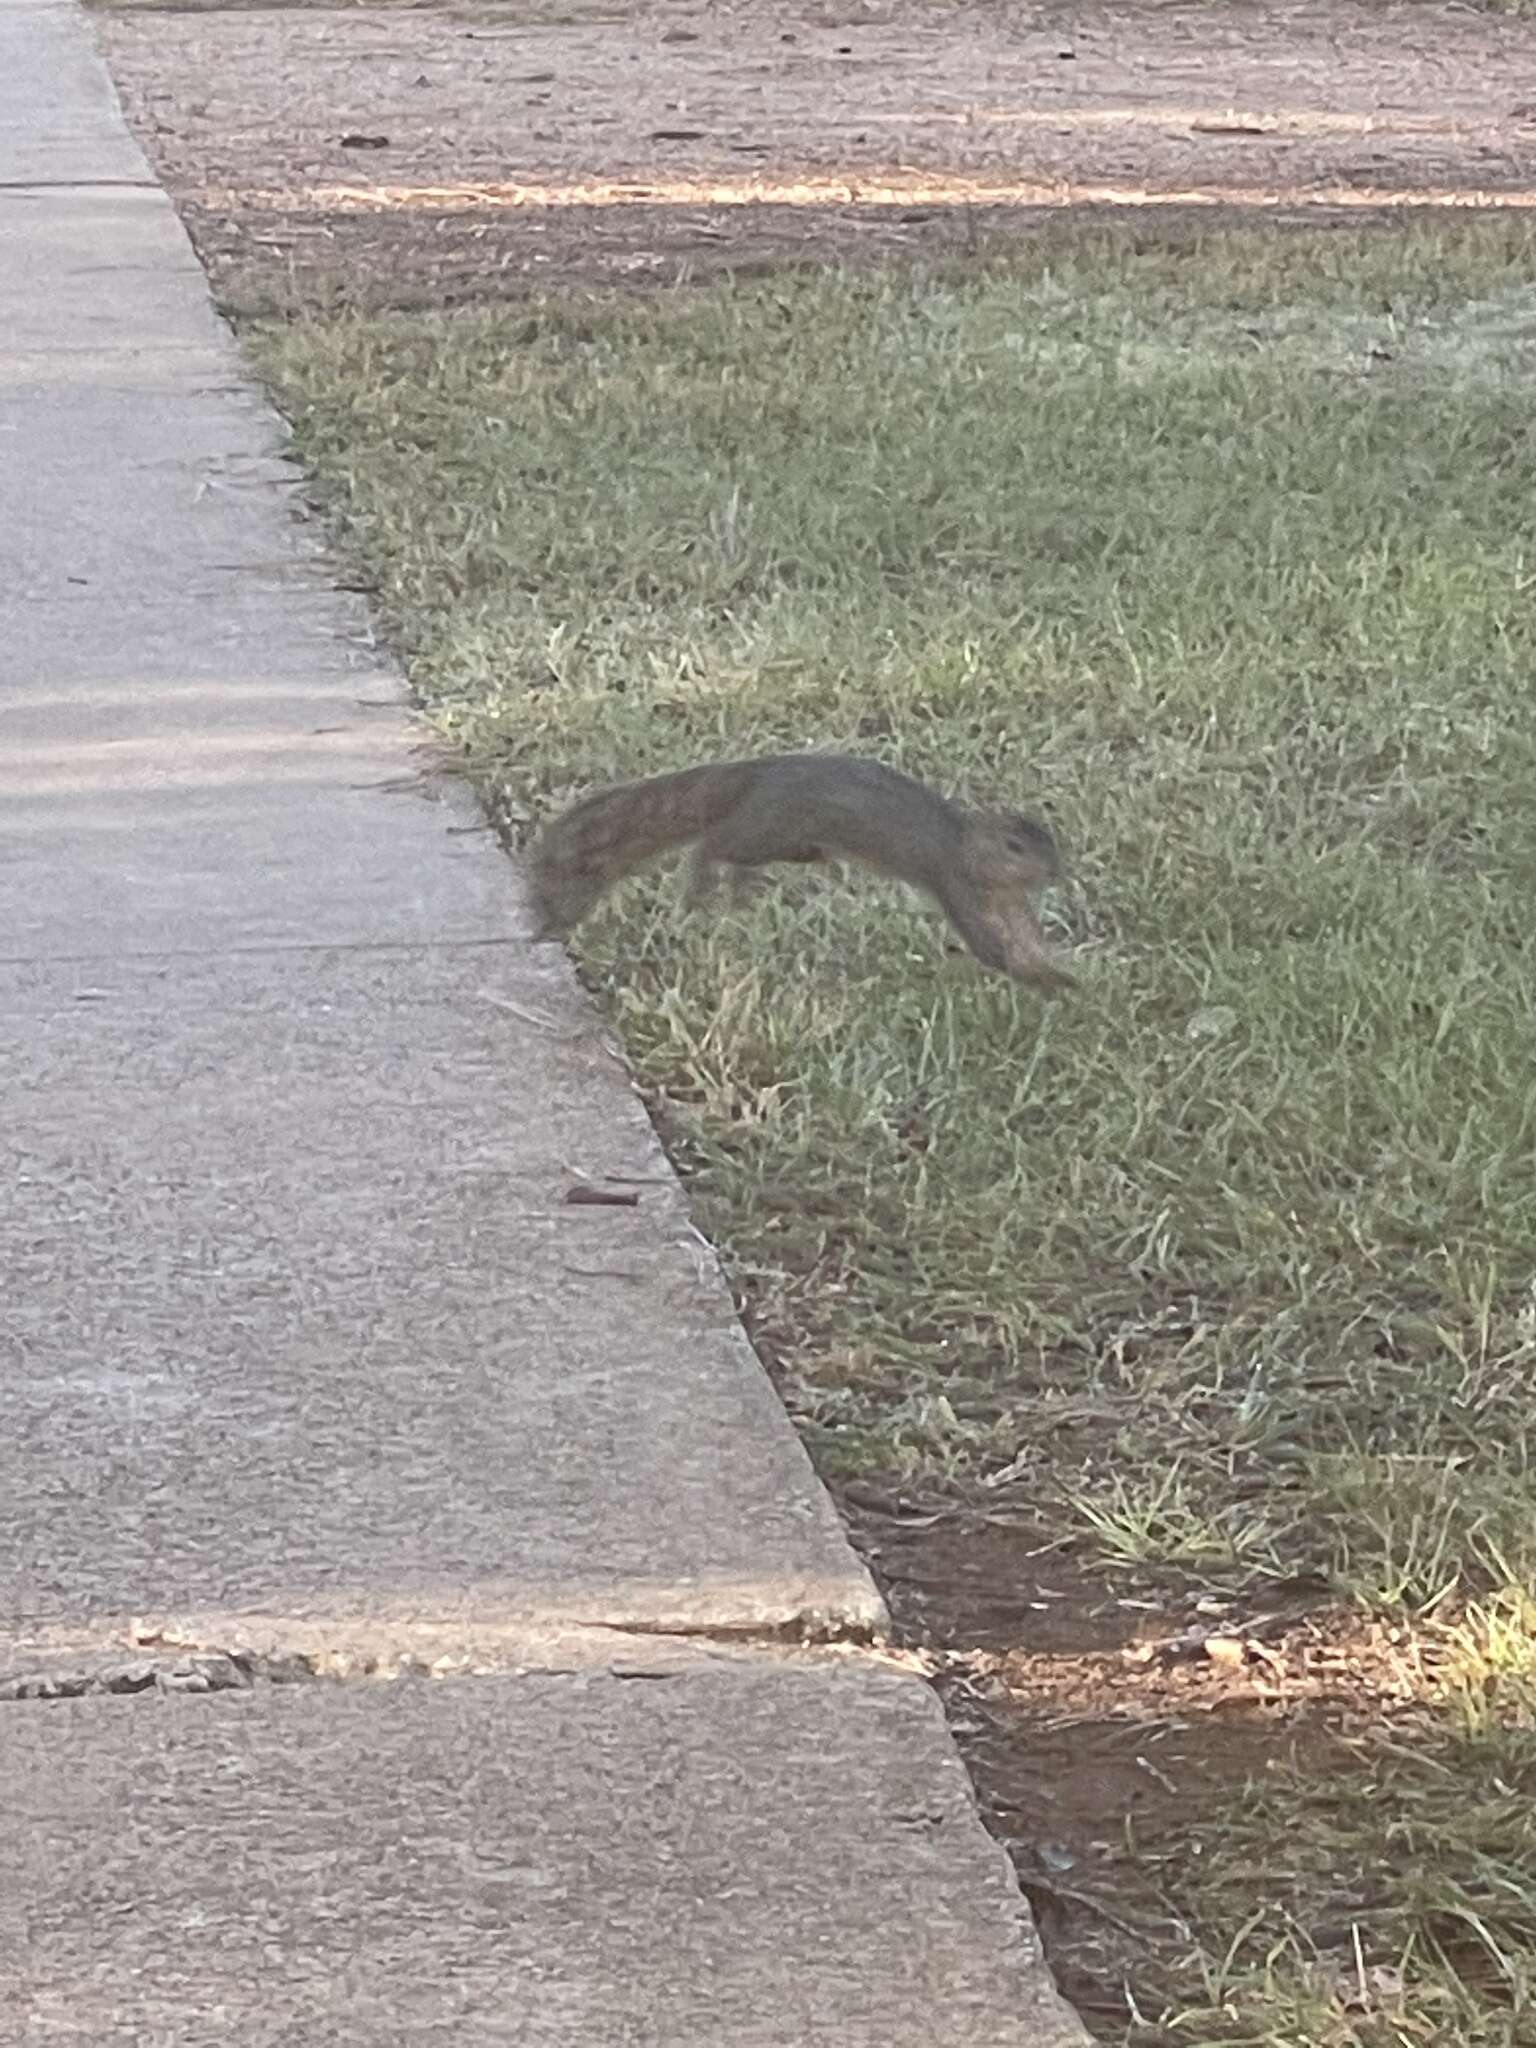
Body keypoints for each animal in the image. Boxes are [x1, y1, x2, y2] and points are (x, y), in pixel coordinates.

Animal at [528, 753, 1073, 991]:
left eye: (1049, 840)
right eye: (1014, 845)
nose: (1057, 872)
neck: (968, 850)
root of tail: (754, 774)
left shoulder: (1008, 899)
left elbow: (1025, 930)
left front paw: (1050, 964)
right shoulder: (952, 881)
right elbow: (989, 947)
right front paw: (1049, 982)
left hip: (788, 842)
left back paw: (740, 889)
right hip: (767, 827)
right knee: (711, 844)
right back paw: (703, 885)